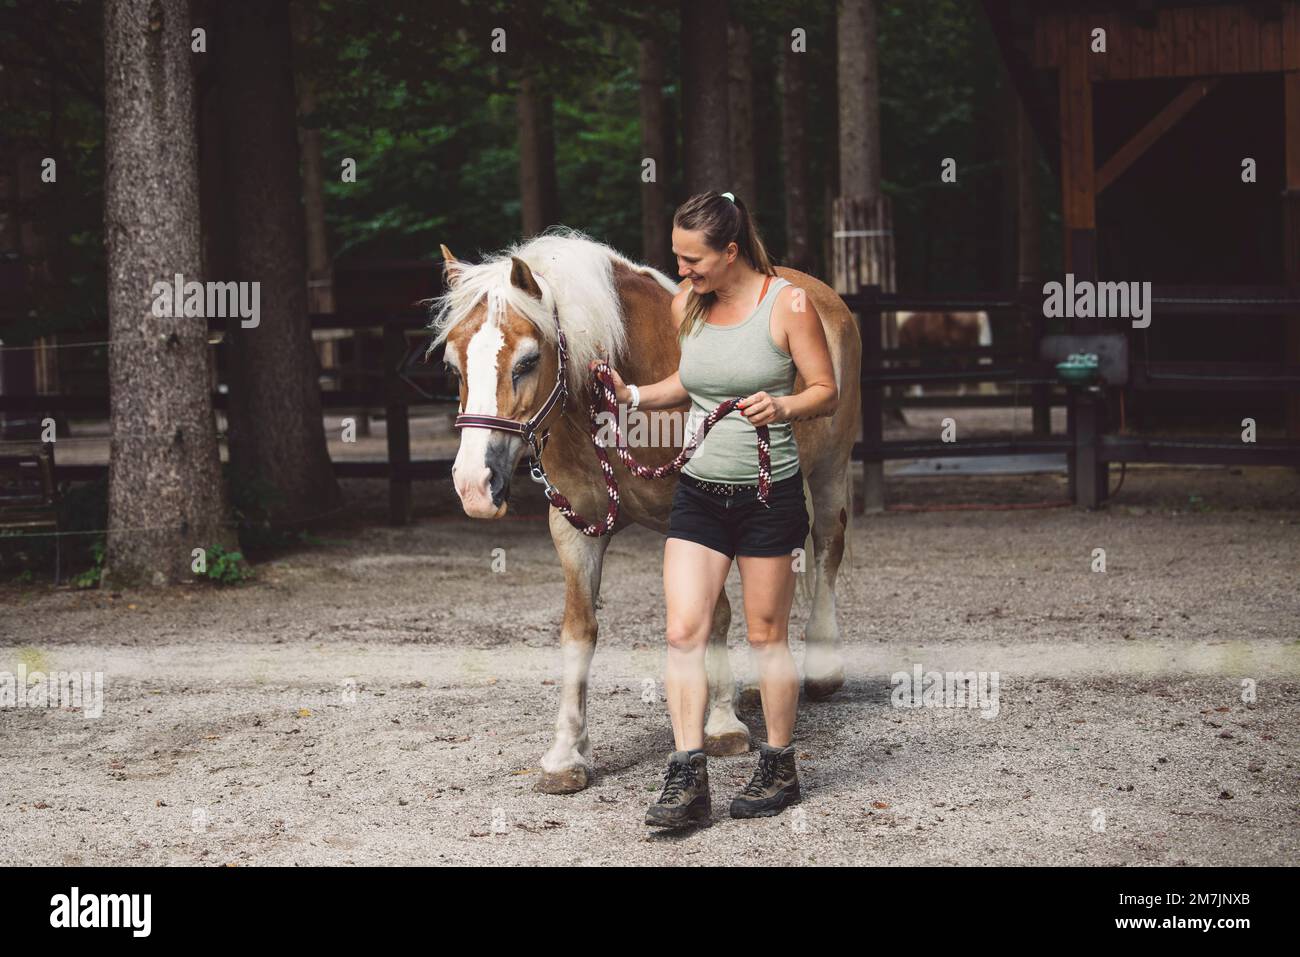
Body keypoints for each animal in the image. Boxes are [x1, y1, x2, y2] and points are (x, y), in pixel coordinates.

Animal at [431, 230, 863, 790]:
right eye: (453, 365)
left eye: (526, 362)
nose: (475, 486)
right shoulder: (575, 526)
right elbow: (580, 630)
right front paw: (566, 754)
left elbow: (716, 615)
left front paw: (721, 725)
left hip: (830, 468)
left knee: (829, 549)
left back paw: (822, 671)